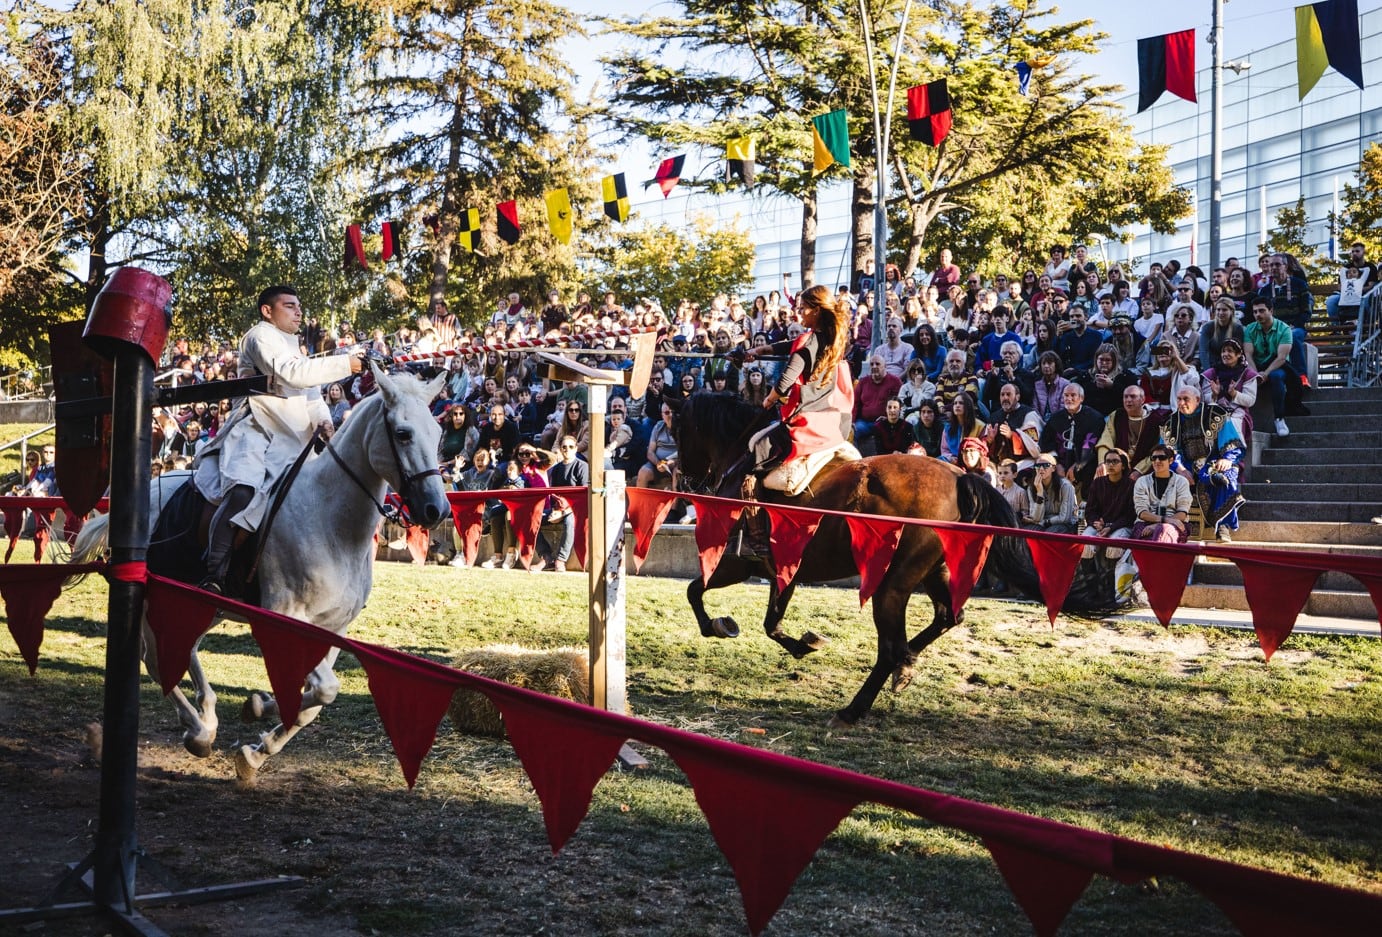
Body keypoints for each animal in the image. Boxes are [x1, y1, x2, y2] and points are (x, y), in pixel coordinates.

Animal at [71, 367, 447, 784]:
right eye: (403, 433)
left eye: (437, 432)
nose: (436, 509)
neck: (330, 519)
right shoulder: (284, 619)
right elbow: (324, 690)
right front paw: (256, 722)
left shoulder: (334, 628)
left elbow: (312, 703)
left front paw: (255, 741)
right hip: (160, 600)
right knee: (155, 659)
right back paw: (199, 733)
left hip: (201, 603)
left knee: (184, 650)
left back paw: (207, 716)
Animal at [668, 392, 1044, 729]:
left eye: (678, 431)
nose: (686, 480)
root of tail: (958, 476)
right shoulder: (783, 570)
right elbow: (771, 622)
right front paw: (804, 644)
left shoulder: (736, 563)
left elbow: (694, 592)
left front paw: (719, 626)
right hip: (934, 571)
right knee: (947, 617)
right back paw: (906, 665)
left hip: (892, 585)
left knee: (891, 649)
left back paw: (854, 708)